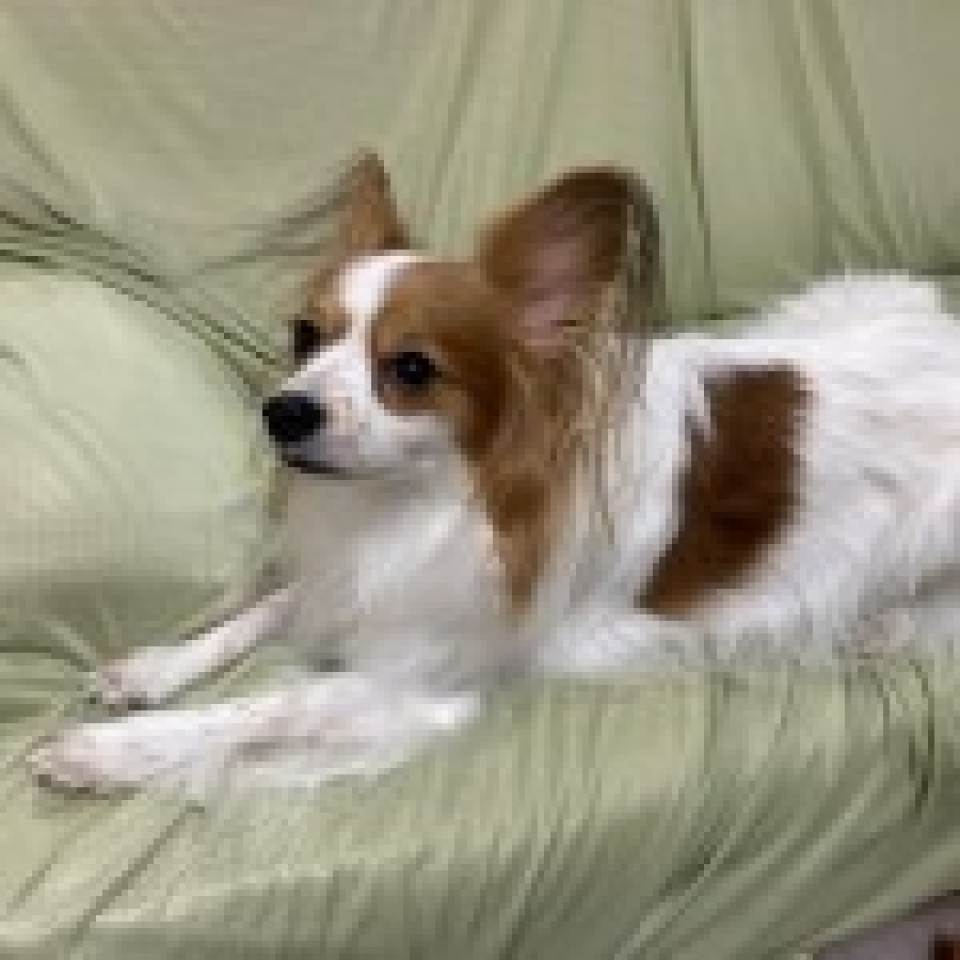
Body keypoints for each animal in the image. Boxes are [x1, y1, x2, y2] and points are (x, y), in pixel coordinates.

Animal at [31, 152, 960, 793]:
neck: (423, 502)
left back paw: (882, 626)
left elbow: (268, 706)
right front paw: (151, 670)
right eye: (305, 338)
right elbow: (269, 608)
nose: (283, 411)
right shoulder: (360, 580)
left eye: (410, 369)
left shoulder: (411, 682)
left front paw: (106, 753)